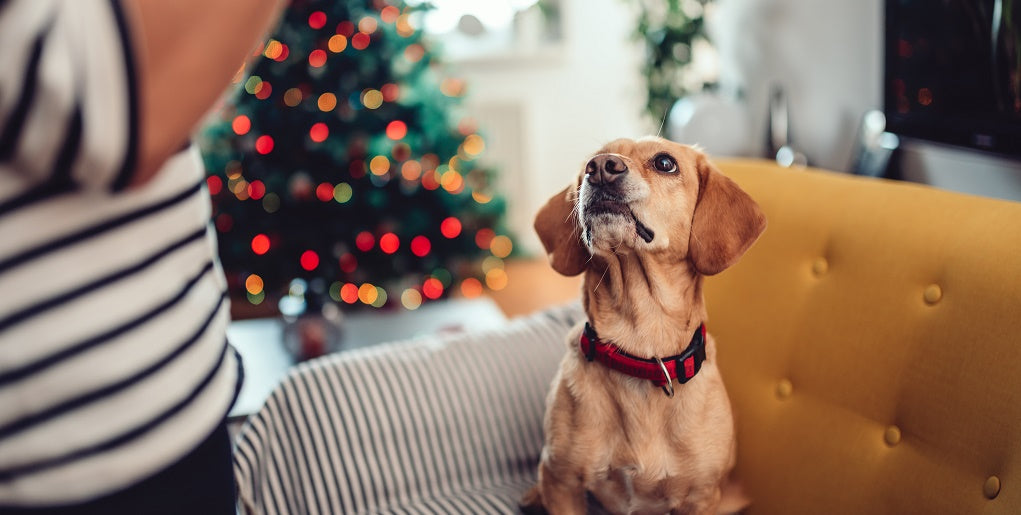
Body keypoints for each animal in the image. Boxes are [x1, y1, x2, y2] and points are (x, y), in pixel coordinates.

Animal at [518, 136, 767, 515]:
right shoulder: (561, 482)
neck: (639, 347)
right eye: (591, 160)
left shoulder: (701, 498)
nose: (601, 167)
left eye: (665, 163)